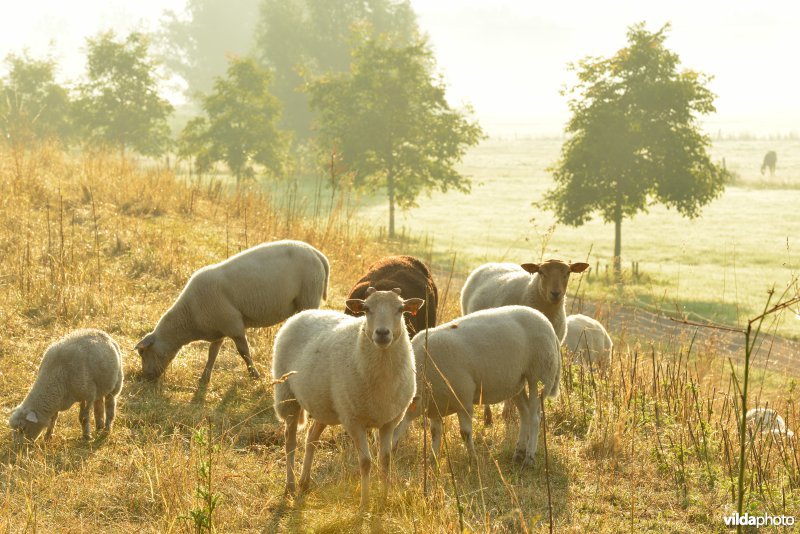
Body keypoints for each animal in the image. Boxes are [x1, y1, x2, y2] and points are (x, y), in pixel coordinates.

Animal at [136, 241, 330, 384]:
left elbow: (244, 352)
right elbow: (212, 353)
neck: (189, 316)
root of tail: (317, 253)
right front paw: (204, 378)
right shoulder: (219, 328)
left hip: (309, 294)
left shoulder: (233, 325)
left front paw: (254, 375)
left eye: (143, 353)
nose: (145, 377)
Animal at [274, 288, 424, 510]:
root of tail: (302, 313)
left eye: (400, 309)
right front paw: (364, 504)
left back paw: (304, 482)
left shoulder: (389, 420)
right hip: (287, 396)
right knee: (290, 441)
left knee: (311, 437)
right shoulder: (354, 421)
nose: (382, 333)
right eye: (366, 309)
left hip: (326, 405)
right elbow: (366, 462)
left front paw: (384, 500)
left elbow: (385, 460)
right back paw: (290, 486)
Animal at [390, 306, 560, 468]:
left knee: (535, 417)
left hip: (538, 375)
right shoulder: (435, 404)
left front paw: (473, 459)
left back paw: (529, 458)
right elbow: (435, 433)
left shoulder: (463, 399)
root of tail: (546, 322)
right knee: (525, 413)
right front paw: (433, 462)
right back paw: (518, 453)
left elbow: (465, 433)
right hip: (516, 382)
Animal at [462, 260, 588, 428]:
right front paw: (507, 414)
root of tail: (494, 263)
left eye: (568, 272)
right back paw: (488, 418)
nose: (555, 293)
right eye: (541, 272)